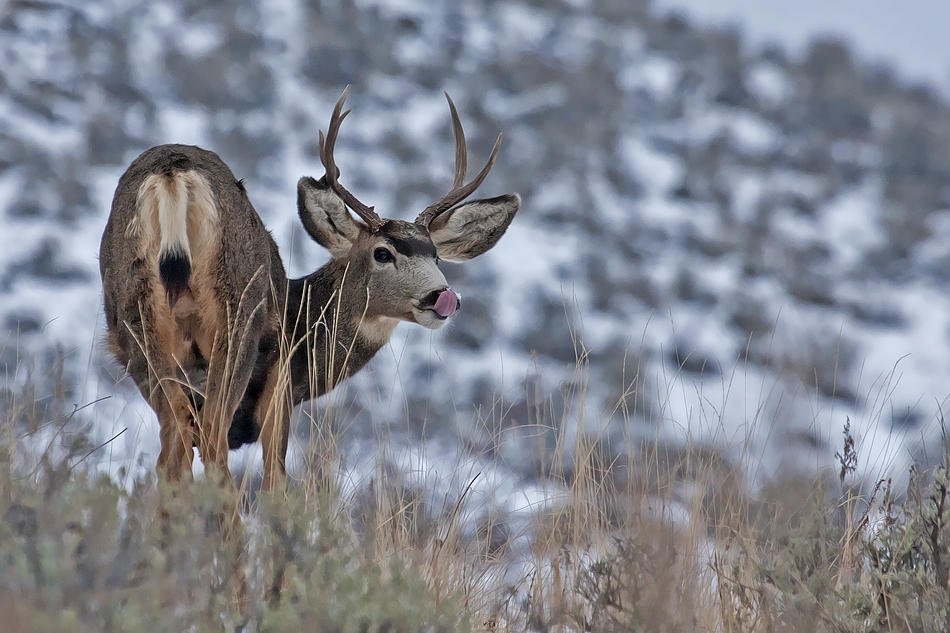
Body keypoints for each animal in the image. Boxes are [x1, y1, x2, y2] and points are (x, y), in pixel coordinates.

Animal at [101, 89, 520, 492]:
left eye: (436, 256)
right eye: (382, 253)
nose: (442, 297)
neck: (299, 320)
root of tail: (171, 172)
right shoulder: (280, 387)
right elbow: (275, 482)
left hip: (137, 323)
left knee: (172, 453)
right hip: (237, 318)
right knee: (214, 445)